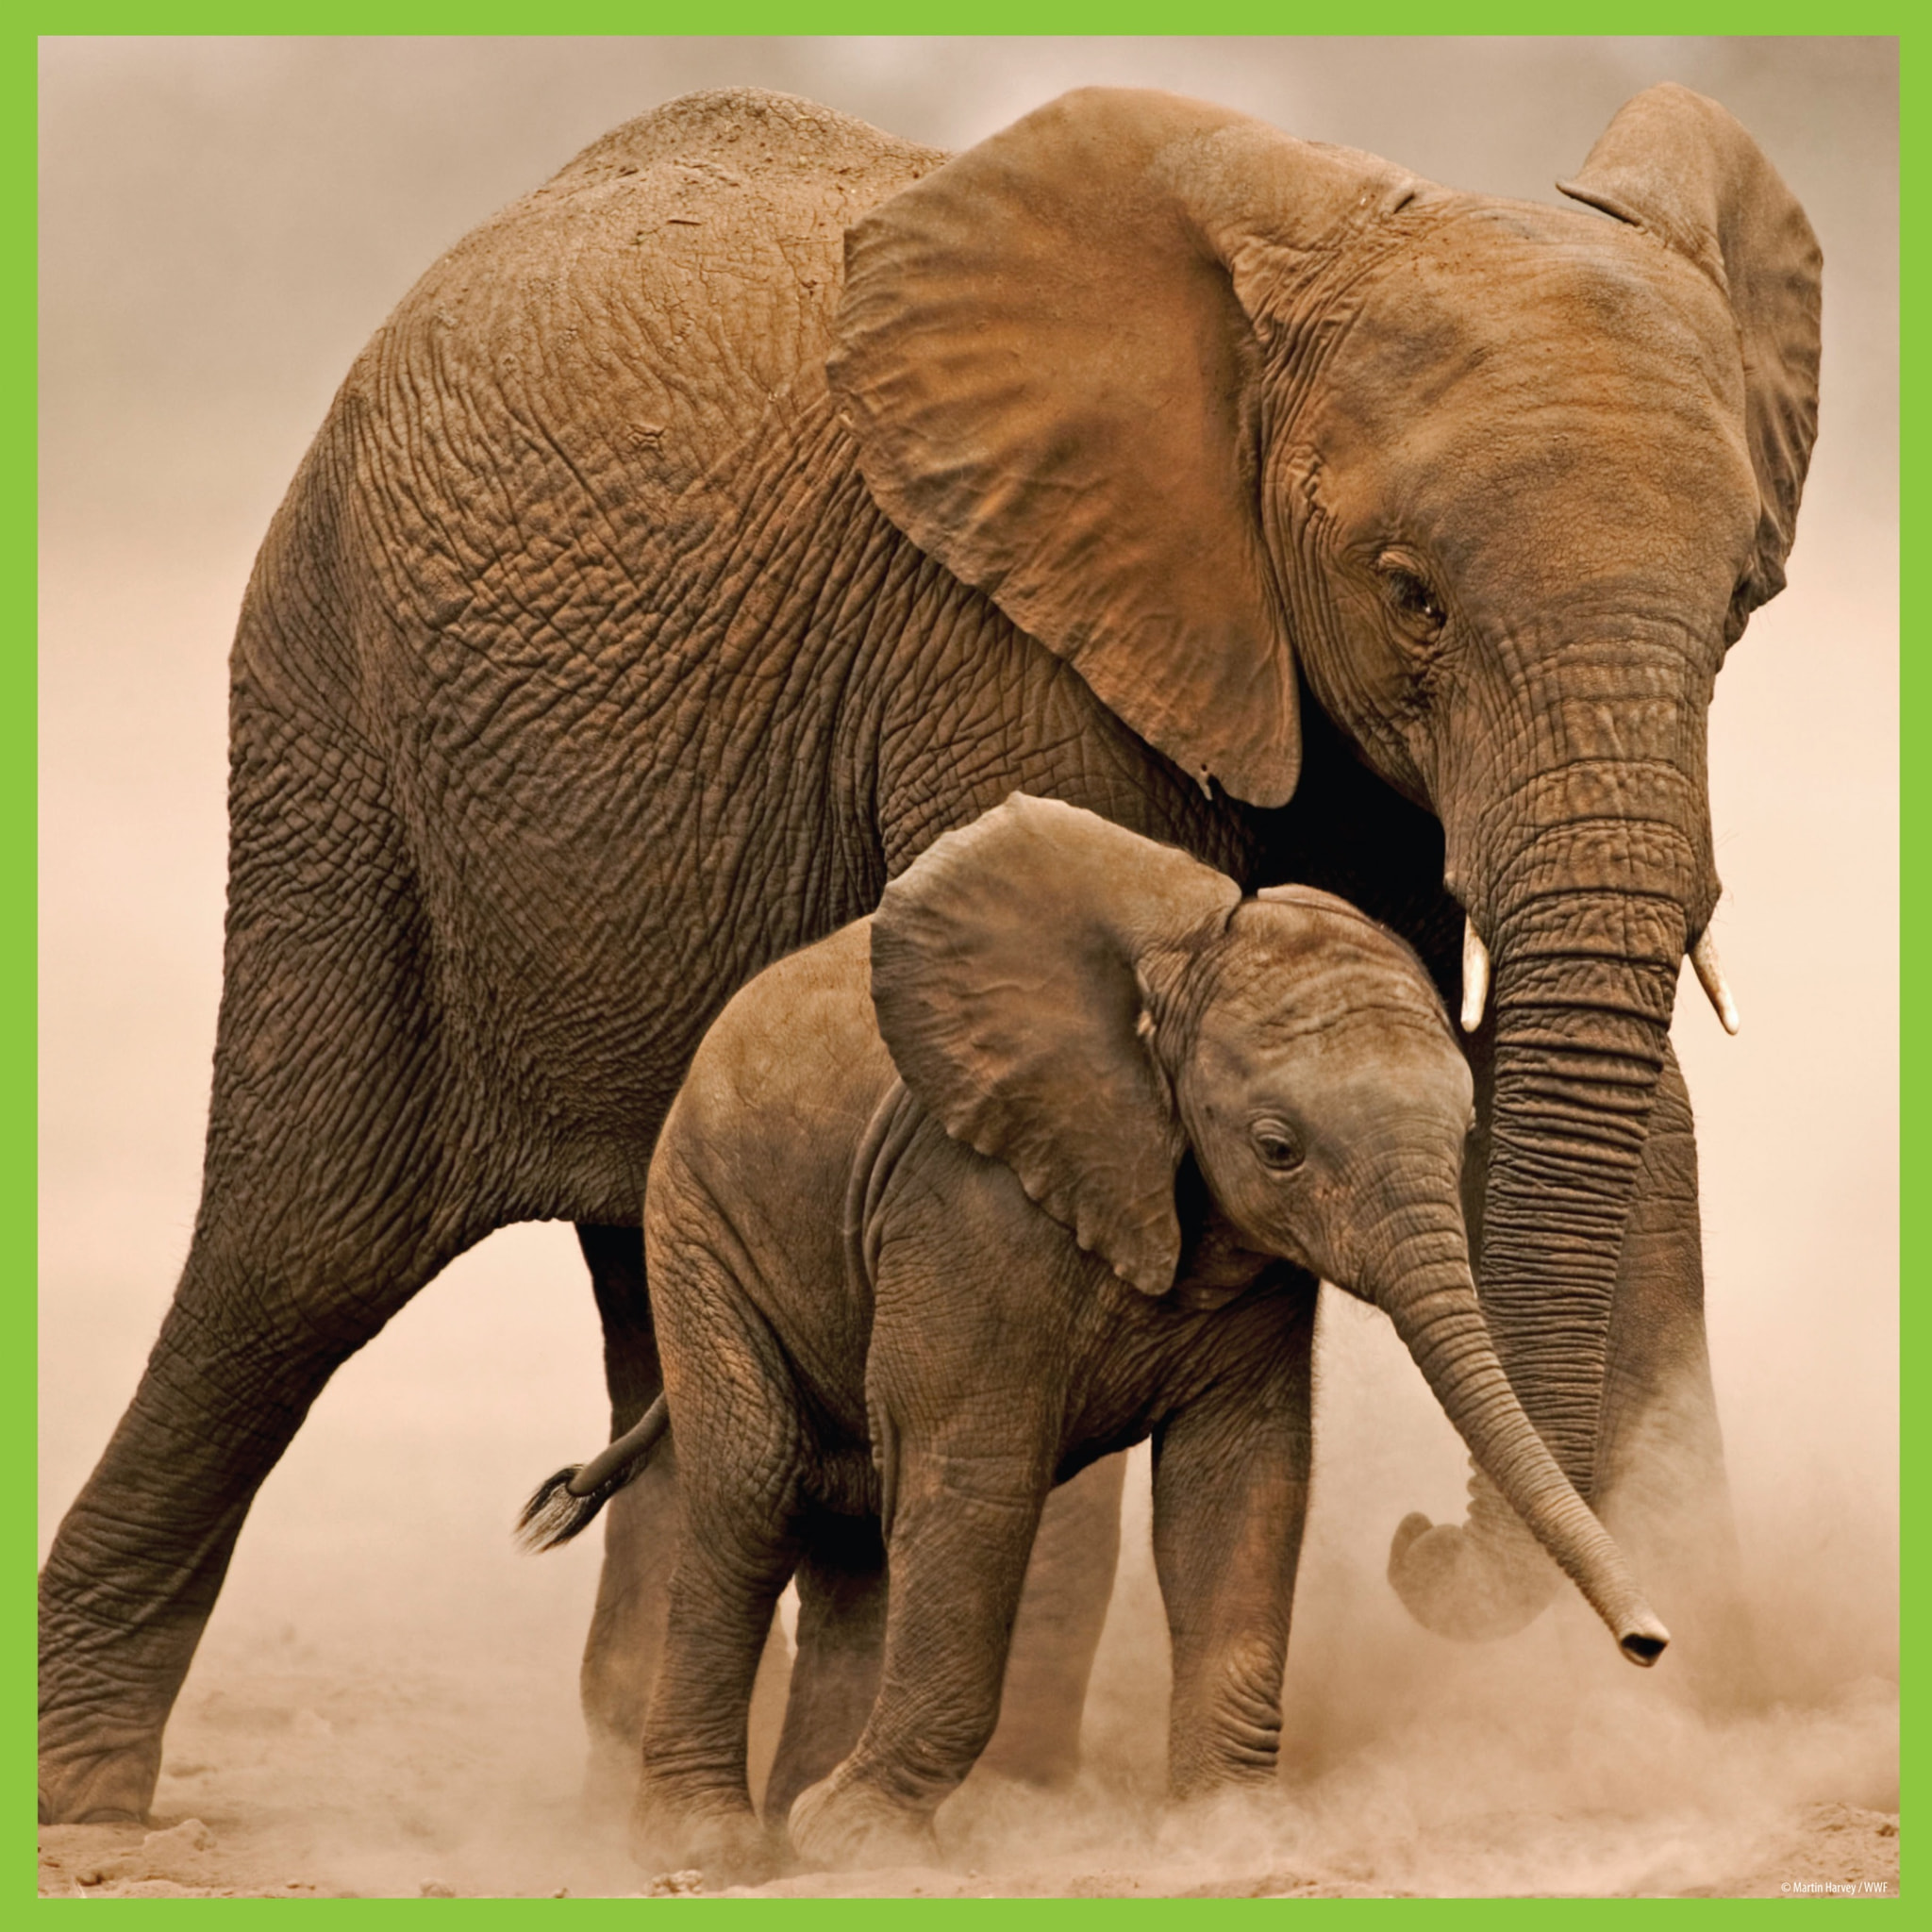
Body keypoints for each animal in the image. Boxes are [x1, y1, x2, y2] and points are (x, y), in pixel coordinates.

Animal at [520, 796, 1669, 1876]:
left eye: (1466, 1131)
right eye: (1277, 1147)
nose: (1649, 1642)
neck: (1174, 979)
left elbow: (1239, 1482)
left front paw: (1235, 1835)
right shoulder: (968, 1200)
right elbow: (976, 1483)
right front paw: (863, 1839)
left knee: (852, 1525)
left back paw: (789, 1826)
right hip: (697, 1223)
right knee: (757, 1492)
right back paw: (710, 1846)